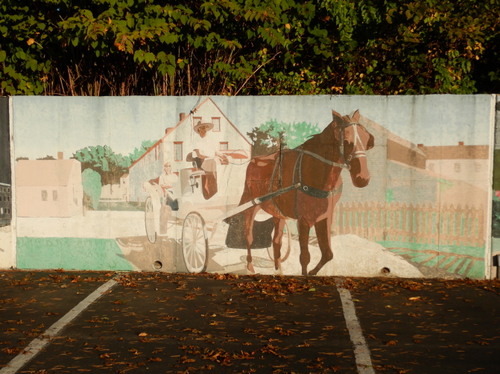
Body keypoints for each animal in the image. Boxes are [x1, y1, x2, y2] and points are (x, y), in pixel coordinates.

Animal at [239, 109, 376, 276]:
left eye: (368, 140)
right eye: (347, 141)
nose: (363, 178)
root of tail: (254, 160)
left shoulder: (324, 217)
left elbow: (328, 254)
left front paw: (312, 273)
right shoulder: (304, 221)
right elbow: (305, 257)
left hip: (279, 213)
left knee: (277, 241)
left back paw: (278, 269)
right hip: (250, 205)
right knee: (248, 237)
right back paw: (250, 266)